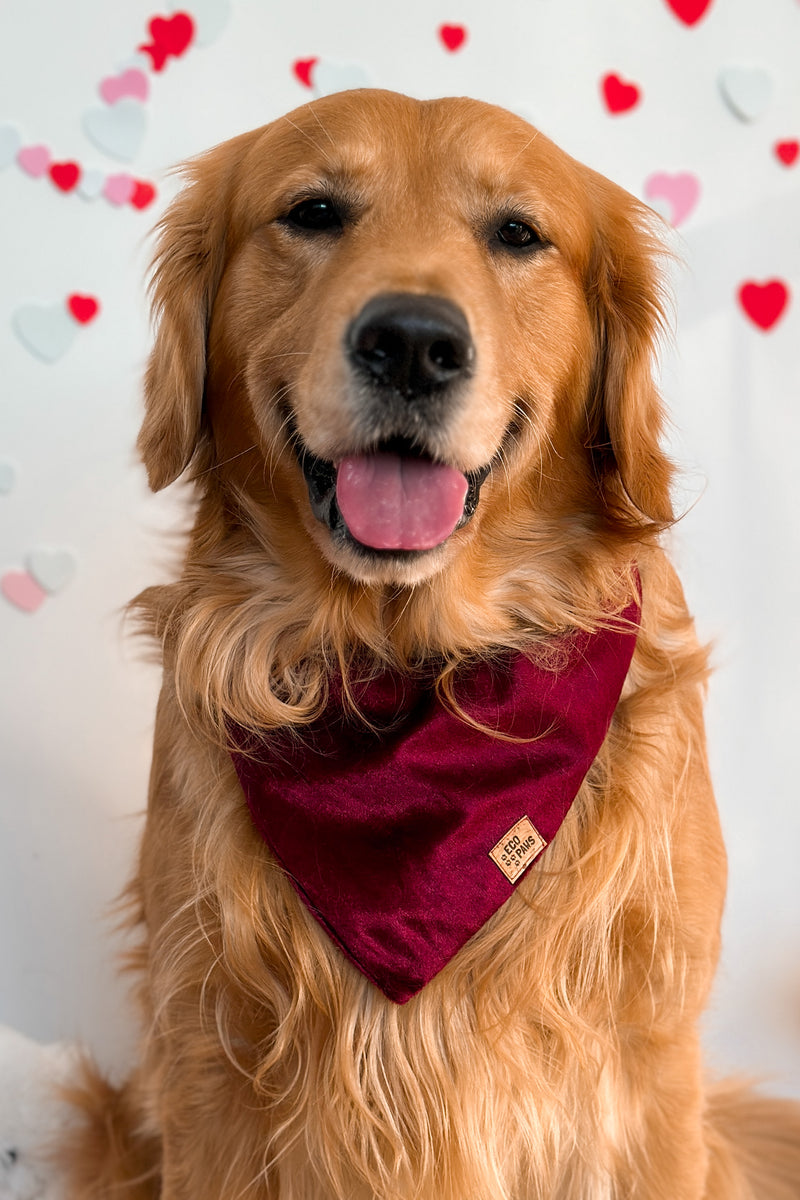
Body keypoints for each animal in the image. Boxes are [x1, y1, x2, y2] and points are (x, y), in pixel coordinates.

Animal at [62, 88, 800, 1195]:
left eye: (517, 234)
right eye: (314, 212)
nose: (412, 342)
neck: (408, 669)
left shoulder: (651, 1066)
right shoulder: (206, 1061)